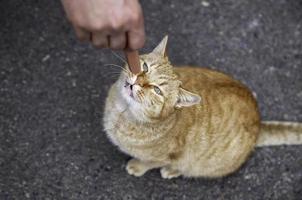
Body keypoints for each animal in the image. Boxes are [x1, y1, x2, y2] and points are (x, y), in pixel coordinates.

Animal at [103, 36, 302, 179]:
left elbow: (150, 162)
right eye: (144, 67)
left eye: (157, 90)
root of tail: (258, 122)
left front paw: (137, 166)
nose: (138, 81)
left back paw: (172, 171)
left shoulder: (166, 157)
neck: (121, 113)